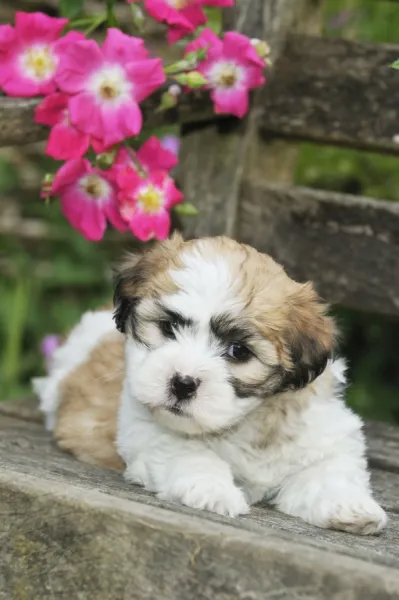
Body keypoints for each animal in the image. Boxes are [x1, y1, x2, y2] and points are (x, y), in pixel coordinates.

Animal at [32, 234, 390, 536]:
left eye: (238, 351)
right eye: (168, 327)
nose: (182, 383)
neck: (248, 421)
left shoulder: (323, 433)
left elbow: (331, 469)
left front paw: (349, 505)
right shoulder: (147, 429)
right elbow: (189, 453)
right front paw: (212, 491)